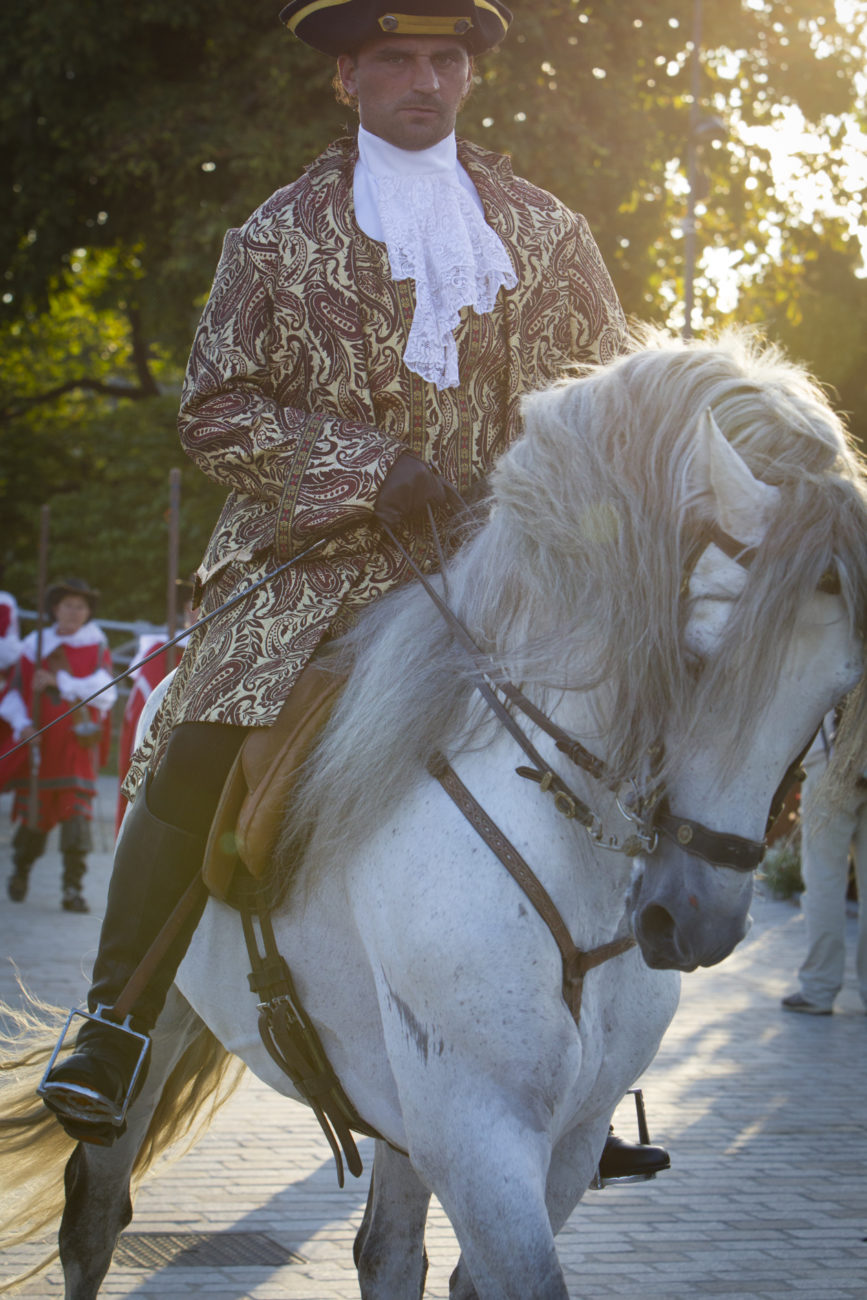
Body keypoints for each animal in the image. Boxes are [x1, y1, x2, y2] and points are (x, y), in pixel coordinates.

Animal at [2, 327, 867, 1300]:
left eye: (834, 694)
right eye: (697, 655)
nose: (693, 923)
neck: (560, 837)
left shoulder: (560, 1141)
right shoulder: (477, 1131)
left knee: (385, 1251)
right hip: (168, 1016)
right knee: (95, 1214)